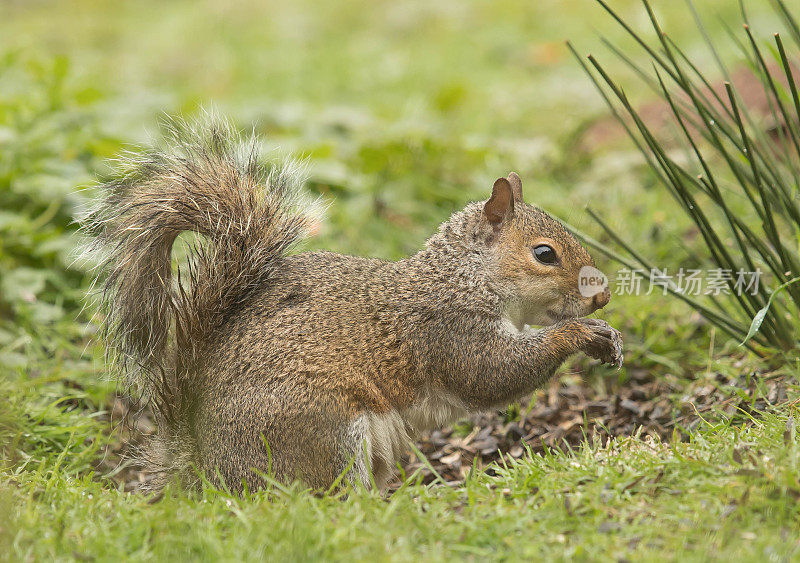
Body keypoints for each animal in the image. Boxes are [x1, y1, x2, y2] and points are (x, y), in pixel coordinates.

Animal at [81, 114, 620, 494]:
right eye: (544, 254)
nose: (603, 295)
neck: (463, 277)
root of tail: (204, 469)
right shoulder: (447, 329)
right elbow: (493, 373)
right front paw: (580, 335)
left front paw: (608, 338)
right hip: (323, 427)